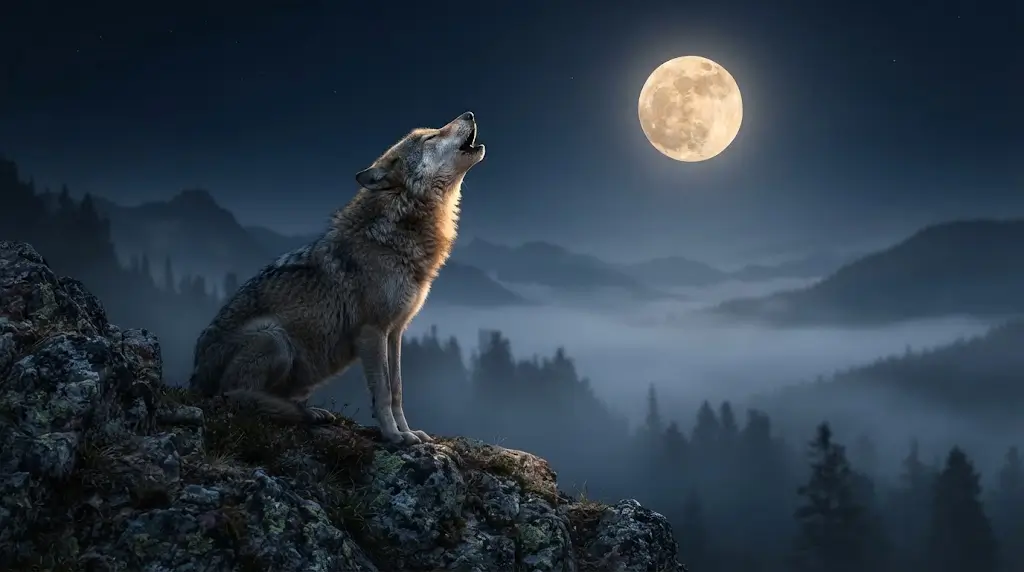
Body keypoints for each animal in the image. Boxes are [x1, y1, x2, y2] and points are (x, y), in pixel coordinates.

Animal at [189, 111, 485, 445]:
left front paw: (408, 433)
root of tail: (195, 379)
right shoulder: (372, 331)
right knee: (232, 395)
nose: (470, 114)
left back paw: (311, 412)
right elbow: (383, 393)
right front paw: (392, 435)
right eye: (431, 137)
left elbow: (397, 390)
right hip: (273, 338)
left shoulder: (395, 332)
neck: (395, 232)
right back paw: (299, 413)